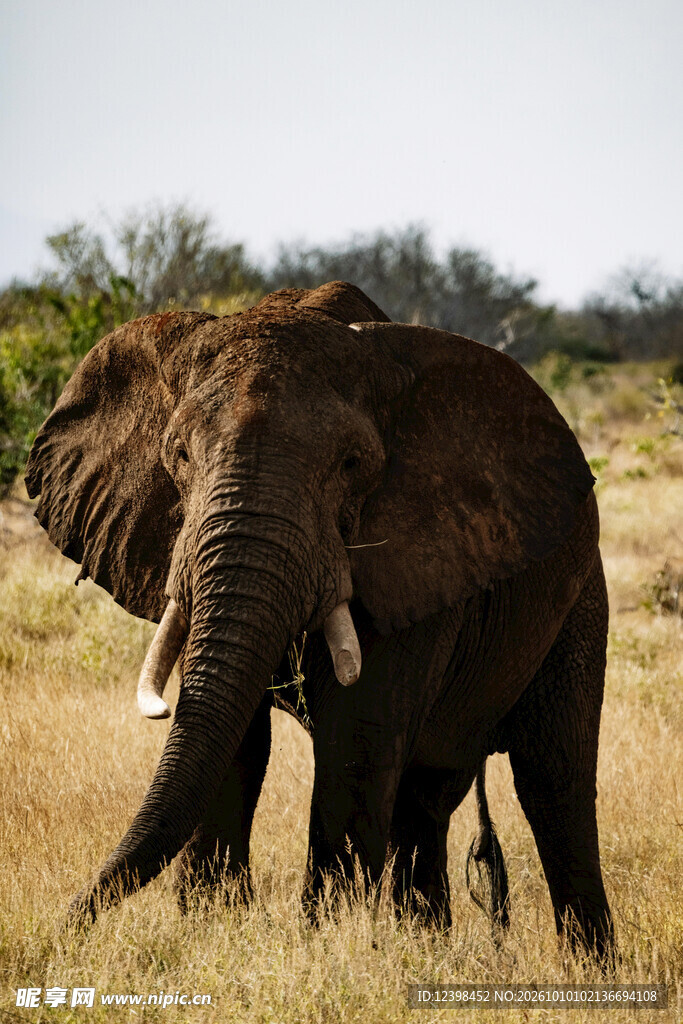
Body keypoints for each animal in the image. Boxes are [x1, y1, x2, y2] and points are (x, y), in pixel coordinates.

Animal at [25, 280, 613, 957]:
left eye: (352, 464)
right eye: (178, 454)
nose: (59, 931)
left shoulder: (421, 560)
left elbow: (354, 743)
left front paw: (326, 942)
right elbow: (236, 744)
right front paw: (214, 928)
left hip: (580, 597)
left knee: (554, 782)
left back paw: (588, 965)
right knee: (427, 796)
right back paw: (424, 945)